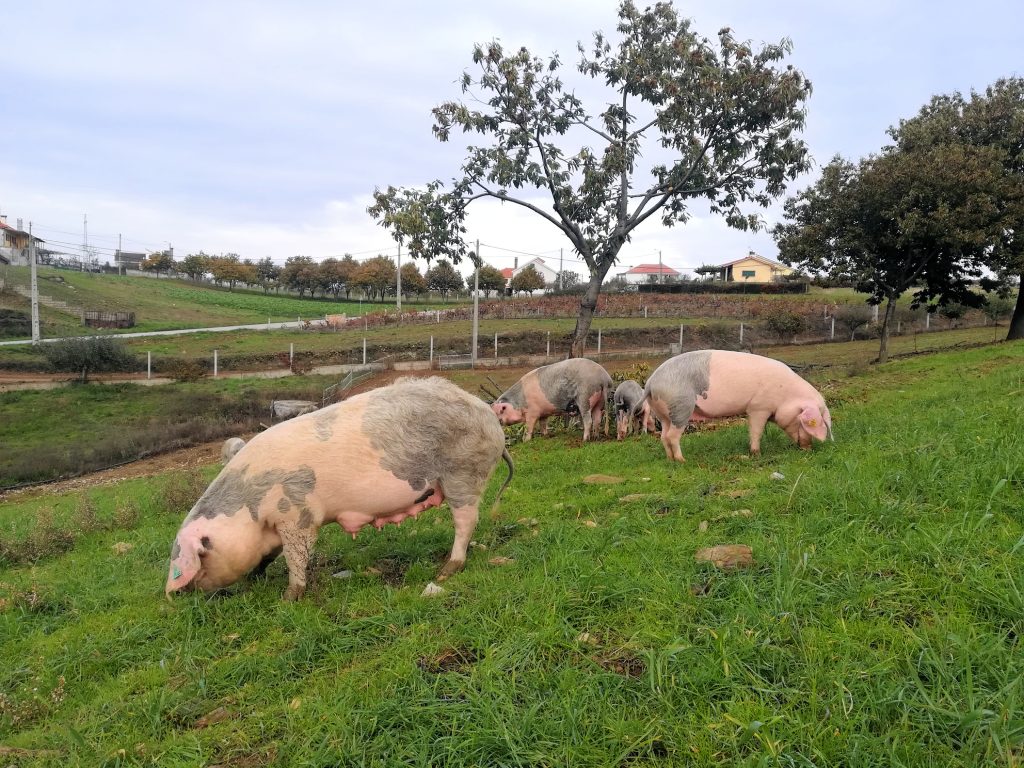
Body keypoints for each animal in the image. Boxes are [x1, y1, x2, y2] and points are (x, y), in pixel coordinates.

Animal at [171, 376, 516, 602]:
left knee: (466, 521)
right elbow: (270, 555)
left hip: (464, 473)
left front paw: (288, 598)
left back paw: (446, 571)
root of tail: (489, 417)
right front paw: (256, 580)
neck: (249, 508)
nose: (176, 595)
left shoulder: (297, 514)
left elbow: (297, 555)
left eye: (198, 558)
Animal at [647, 348, 831, 462]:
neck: (785, 395)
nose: (808, 448)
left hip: (664, 415)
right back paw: (682, 460)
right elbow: (756, 431)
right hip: (680, 408)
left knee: (663, 436)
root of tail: (650, 383)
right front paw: (757, 454)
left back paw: (670, 459)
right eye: (804, 421)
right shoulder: (758, 407)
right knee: (672, 436)